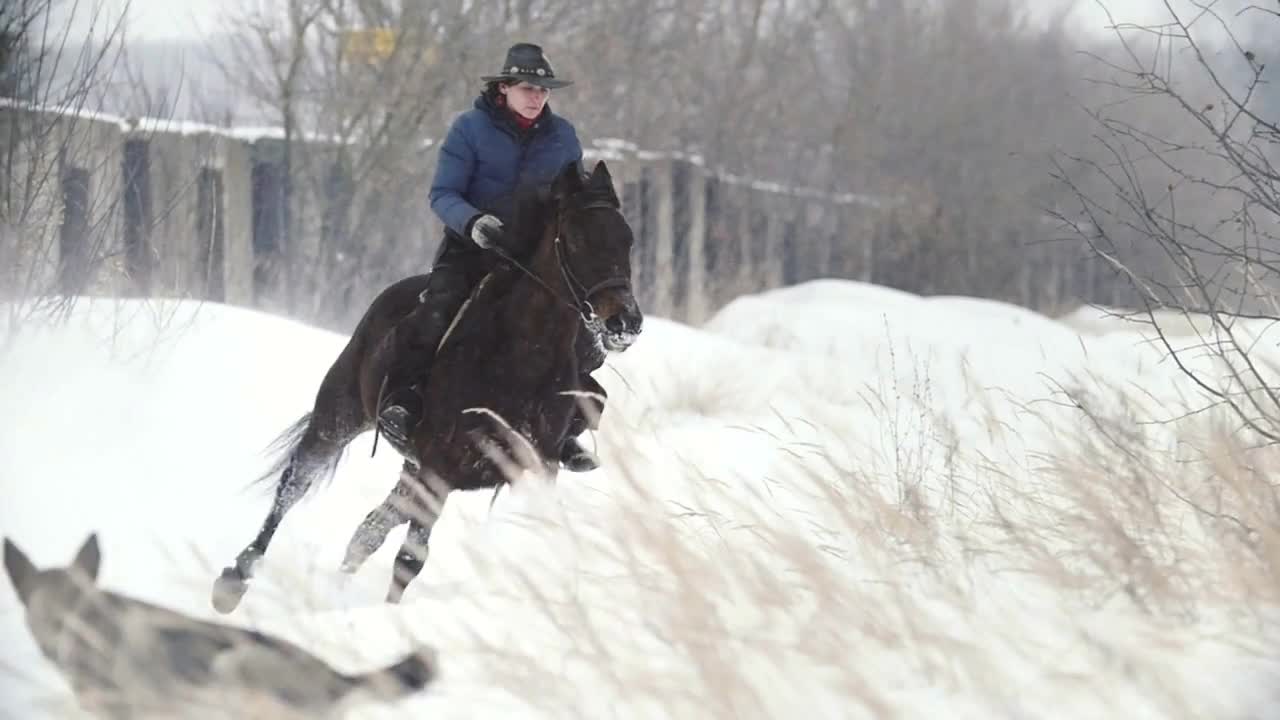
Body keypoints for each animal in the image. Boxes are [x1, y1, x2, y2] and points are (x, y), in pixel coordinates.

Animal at [216, 159, 650, 607]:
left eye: (627, 239)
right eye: (578, 239)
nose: (625, 322)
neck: (522, 357)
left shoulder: (535, 468)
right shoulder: (438, 467)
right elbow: (410, 559)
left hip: (411, 467)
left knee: (367, 529)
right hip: (341, 414)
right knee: (294, 485)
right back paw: (234, 580)